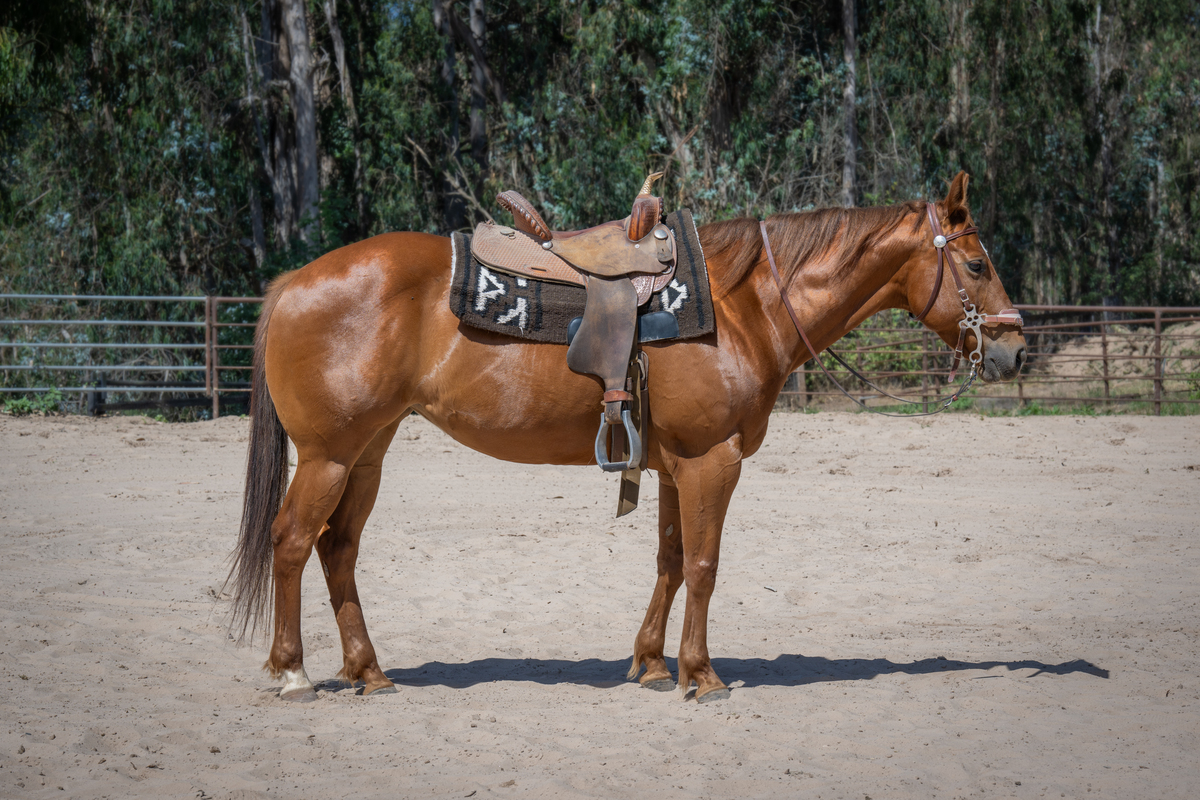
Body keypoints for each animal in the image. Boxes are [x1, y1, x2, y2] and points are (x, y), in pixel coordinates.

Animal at [227, 171, 1026, 704]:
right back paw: (293, 671)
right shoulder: (713, 460)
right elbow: (704, 564)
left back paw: (368, 671)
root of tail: (293, 281)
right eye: (977, 263)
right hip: (329, 455)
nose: (1016, 350)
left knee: (338, 550)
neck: (743, 306)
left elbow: (670, 561)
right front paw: (702, 675)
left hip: (367, 454)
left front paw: (651, 664)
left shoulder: (675, 465)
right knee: (292, 541)